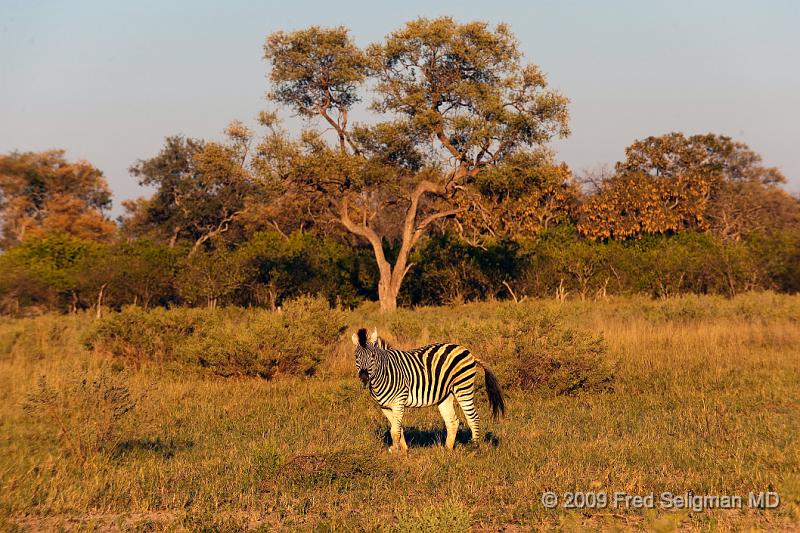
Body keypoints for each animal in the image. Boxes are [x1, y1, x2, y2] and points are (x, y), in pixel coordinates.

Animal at [348, 326, 504, 450]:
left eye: (373, 355)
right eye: (356, 356)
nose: (364, 377)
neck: (384, 373)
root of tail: (467, 351)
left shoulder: (399, 402)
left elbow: (395, 431)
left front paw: (395, 452)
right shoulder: (385, 407)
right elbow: (397, 428)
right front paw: (404, 451)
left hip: (463, 388)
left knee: (473, 417)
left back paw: (474, 448)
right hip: (445, 395)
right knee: (452, 421)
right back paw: (447, 450)